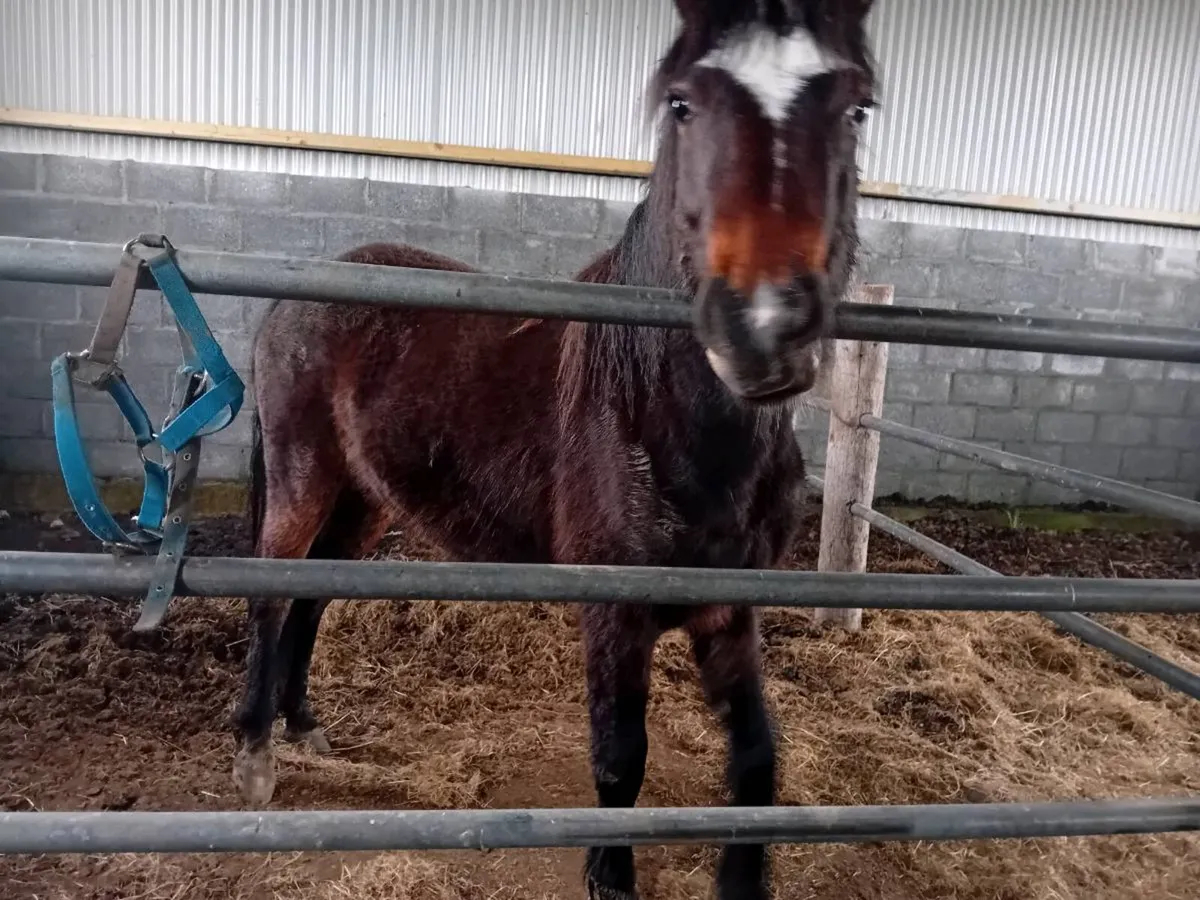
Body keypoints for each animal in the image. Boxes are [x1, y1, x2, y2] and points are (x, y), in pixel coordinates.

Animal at [233, 1, 879, 897]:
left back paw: (303, 726)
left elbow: (757, 758)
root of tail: (300, 296)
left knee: (311, 598)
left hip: (364, 500)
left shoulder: (728, 613)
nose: (764, 331)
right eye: (682, 103)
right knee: (269, 595)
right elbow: (619, 758)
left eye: (856, 110)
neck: (663, 417)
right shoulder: (611, 613)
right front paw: (609, 873)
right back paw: (257, 755)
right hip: (303, 477)